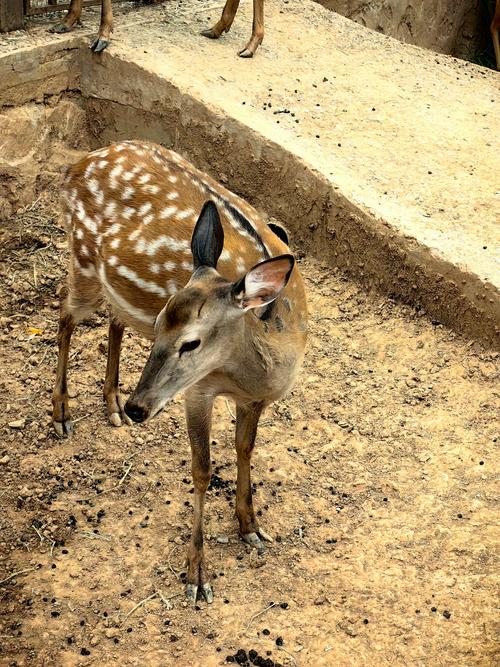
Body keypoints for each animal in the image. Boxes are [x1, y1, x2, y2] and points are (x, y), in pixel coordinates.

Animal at [52, 140, 308, 602]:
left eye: (192, 342)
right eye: (160, 326)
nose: (139, 408)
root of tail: (76, 165)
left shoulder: (255, 399)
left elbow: (245, 449)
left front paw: (251, 526)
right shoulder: (199, 390)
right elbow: (202, 470)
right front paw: (196, 575)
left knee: (113, 317)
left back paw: (111, 403)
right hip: (81, 259)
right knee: (65, 314)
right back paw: (63, 412)